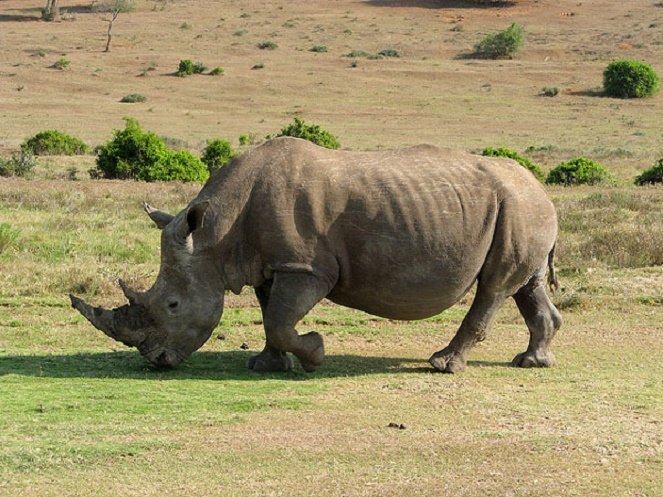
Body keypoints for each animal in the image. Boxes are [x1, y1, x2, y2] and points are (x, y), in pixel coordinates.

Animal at [71, 136, 560, 372]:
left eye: (172, 305)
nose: (156, 361)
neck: (215, 234)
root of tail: (541, 186)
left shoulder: (306, 267)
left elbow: (280, 319)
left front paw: (316, 354)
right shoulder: (270, 264)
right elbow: (271, 316)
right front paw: (265, 365)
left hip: (518, 206)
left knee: (494, 288)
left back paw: (443, 366)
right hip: (522, 208)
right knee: (526, 286)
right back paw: (531, 363)